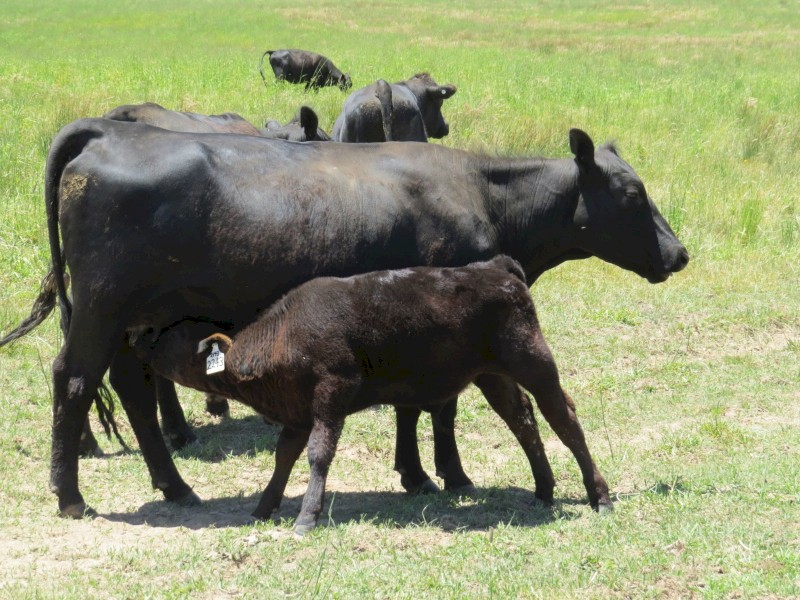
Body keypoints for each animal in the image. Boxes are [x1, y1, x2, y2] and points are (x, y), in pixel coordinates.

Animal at [134, 257, 611, 534]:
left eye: (176, 335)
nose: (141, 335)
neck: (285, 334)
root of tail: (495, 267)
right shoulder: (298, 412)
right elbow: (284, 456)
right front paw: (263, 507)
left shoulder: (333, 393)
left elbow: (318, 454)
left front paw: (306, 517)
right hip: (493, 376)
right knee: (523, 420)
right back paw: (544, 489)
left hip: (535, 363)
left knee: (563, 418)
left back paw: (599, 494)